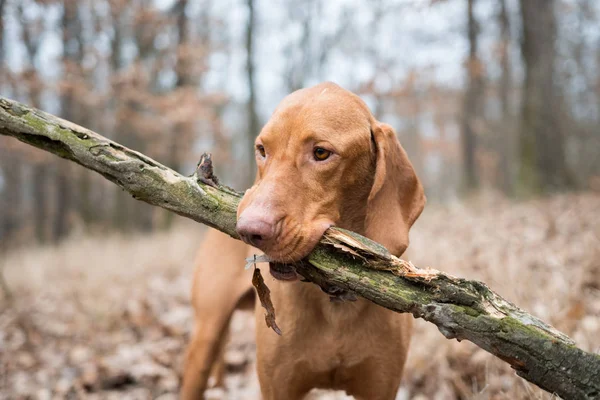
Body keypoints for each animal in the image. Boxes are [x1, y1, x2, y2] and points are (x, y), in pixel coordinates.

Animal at [183, 83, 426, 398]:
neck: (334, 300)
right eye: (262, 150)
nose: (248, 230)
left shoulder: (381, 387)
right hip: (206, 336)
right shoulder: (278, 388)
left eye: (321, 153)